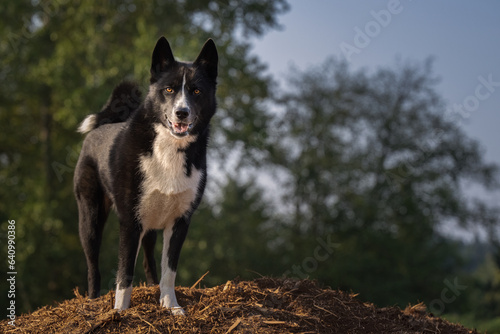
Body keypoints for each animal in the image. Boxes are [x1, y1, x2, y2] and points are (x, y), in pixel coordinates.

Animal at [73, 37, 217, 314]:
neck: (169, 147)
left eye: (196, 91)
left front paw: (171, 307)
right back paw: (93, 302)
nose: (182, 112)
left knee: (149, 261)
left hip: (150, 223)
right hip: (90, 218)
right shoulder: (130, 221)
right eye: (169, 90)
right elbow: (124, 273)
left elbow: (168, 270)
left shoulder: (180, 221)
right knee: (92, 266)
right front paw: (119, 312)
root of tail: (101, 128)